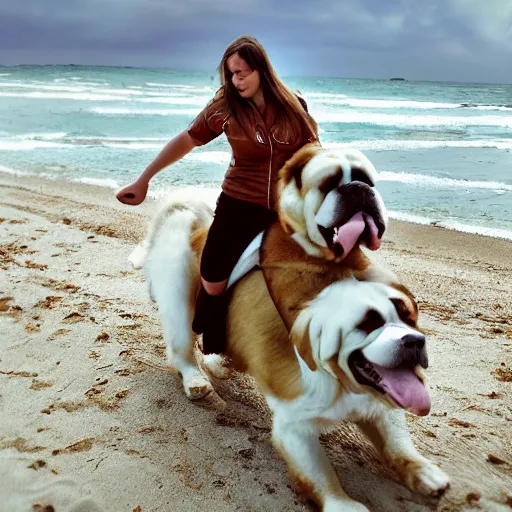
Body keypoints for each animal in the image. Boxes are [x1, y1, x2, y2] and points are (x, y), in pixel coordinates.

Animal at [130, 145, 450, 512]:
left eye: (408, 316)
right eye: (367, 324)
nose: (414, 341)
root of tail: (191, 217)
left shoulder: (381, 406)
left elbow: (398, 444)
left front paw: (424, 472)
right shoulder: (294, 428)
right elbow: (322, 475)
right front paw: (344, 504)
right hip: (179, 298)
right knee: (182, 348)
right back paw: (197, 380)